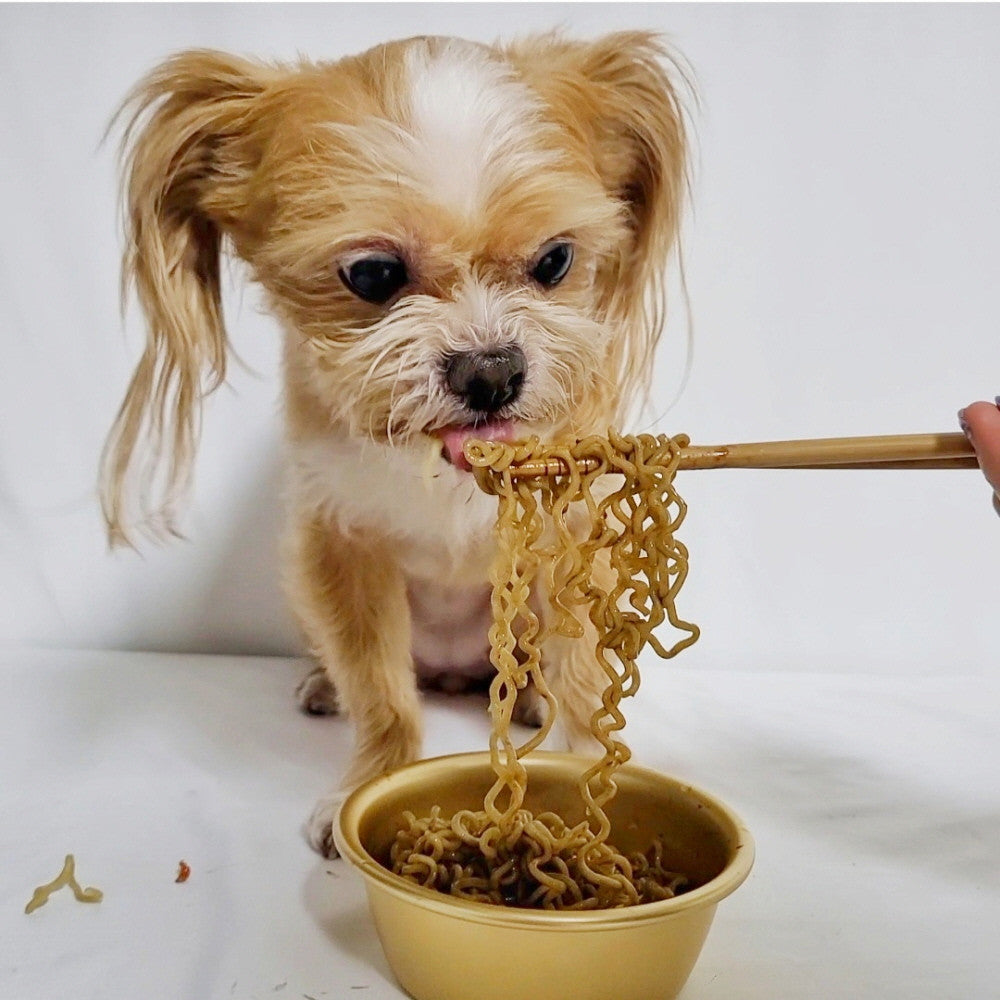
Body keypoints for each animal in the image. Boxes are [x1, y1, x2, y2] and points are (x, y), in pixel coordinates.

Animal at [105, 33, 692, 860]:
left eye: (555, 261)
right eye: (373, 273)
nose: (492, 370)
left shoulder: (571, 538)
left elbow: (582, 674)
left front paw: (582, 768)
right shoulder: (342, 547)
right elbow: (381, 692)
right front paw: (365, 784)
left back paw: (530, 698)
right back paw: (324, 684)